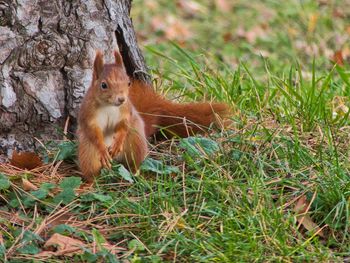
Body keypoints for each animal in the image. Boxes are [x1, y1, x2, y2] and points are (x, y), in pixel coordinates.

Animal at [77, 49, 230, 182]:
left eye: (128, 82)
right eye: (103, 85)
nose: (121, 99)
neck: (109, 106)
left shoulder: (126, 111)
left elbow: (124, 125)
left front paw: (118, 141)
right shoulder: (88, 114)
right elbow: (93, 130)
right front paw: (103, 150)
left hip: (136, 144)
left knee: (135, 163)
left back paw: (136, 173)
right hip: (88, 153)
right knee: (92, 172)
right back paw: (88, 184)